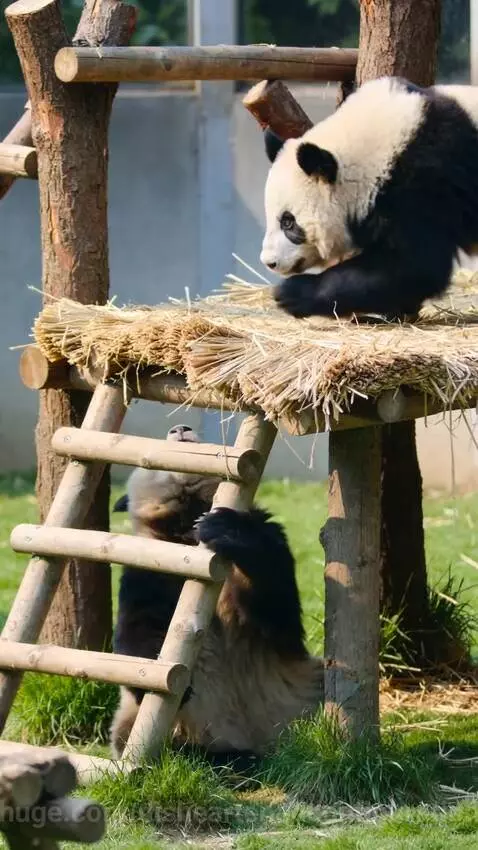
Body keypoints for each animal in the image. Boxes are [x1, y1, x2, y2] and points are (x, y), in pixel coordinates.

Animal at [110, 424, 323, 762]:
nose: (180, 428)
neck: (186, 528)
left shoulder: (264, 537)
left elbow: (277, 609)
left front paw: (225, 529)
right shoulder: (151, 568)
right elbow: (136, 629)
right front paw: (177, 683)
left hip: (300, 686)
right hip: (153, 722)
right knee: (132, 736)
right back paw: (206, 757)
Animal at [260, 76, 478, 320]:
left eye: (288, 222)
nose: (269, 262)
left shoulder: (422, 186)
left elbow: (415, 266)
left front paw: (293, 292)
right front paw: (396, 311)